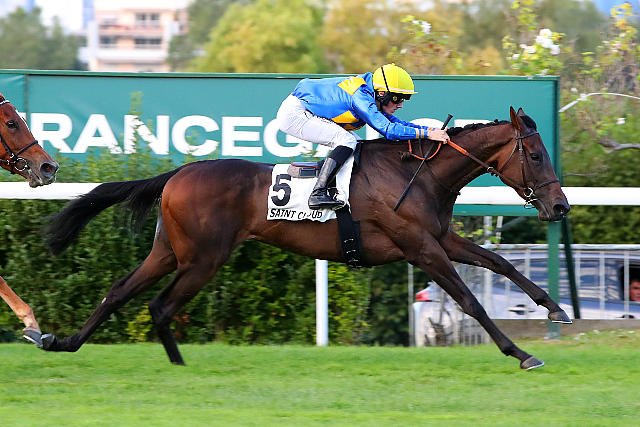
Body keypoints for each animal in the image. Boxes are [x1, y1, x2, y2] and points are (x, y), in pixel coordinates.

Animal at [41, 107, 571, 370]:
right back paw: (176, 362)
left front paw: (555, 308)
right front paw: (521, 354)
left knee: (120, 292)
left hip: (171, 252)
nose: (560, 206)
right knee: (161, 304)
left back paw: (62, 342)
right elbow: (470, 300)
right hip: (203, 258)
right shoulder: (419, 247)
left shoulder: (441, 238)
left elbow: (501, 264)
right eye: (536, 155)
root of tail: (179, 172)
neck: (417, 174)